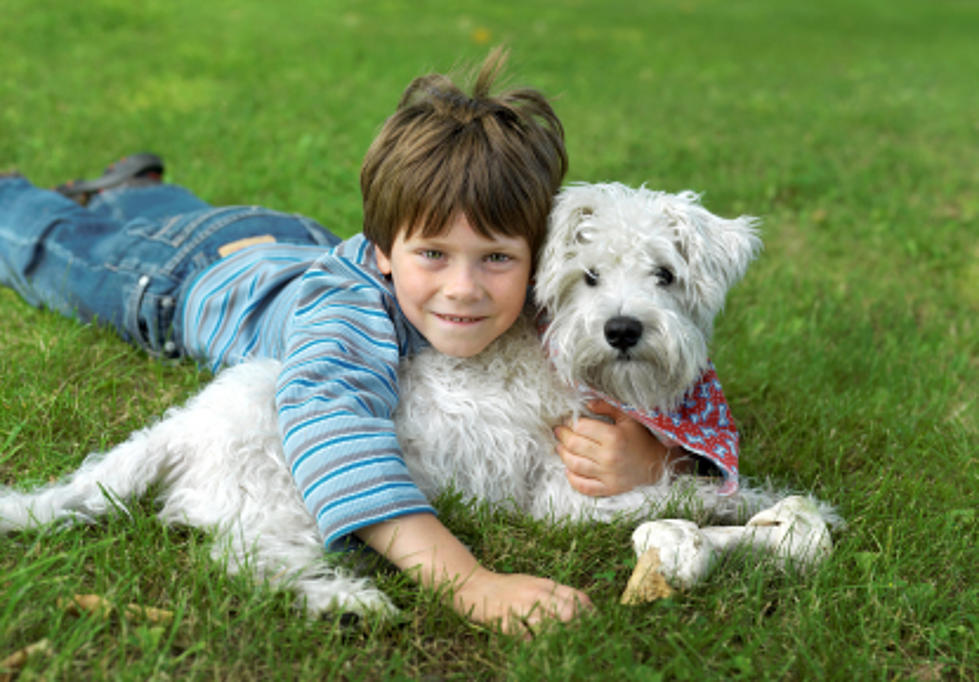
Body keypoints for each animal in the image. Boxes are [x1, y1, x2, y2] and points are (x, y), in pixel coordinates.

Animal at [0, 183, 824, 612]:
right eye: (587, 276)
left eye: (665, 274)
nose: (622, 329)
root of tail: (178, 432)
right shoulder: (563, 500)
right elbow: (683, 498)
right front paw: (773, 510)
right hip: (283, 500)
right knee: (251, 560)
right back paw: (347, 602)